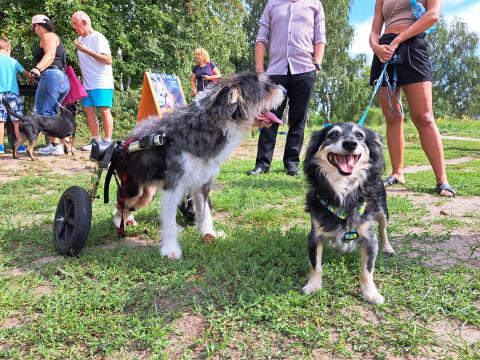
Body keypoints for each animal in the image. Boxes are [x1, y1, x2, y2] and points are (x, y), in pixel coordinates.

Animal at [112, 71, 284, 260]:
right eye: (264, 86)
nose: (284, 90)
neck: (204, 126)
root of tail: (123, 142)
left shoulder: (203, 184)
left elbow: (205, 212)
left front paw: (208, 233)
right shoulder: (173, 184)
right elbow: (169, 219)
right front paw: (170, 249)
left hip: (148, 192)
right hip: (134, 188)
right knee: (120, 203)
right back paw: (120, 221)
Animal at [304, 123, 394, 304]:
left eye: (359, 136)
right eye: (332, 135)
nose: (350, 143)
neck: (343, 188)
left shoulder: (369, 238)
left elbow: (367, 270)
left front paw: (371, 294)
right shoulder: (315, 235)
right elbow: (315, 265)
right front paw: (313, 286)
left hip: (382, 211)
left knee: (383, 229)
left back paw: (387, 247)